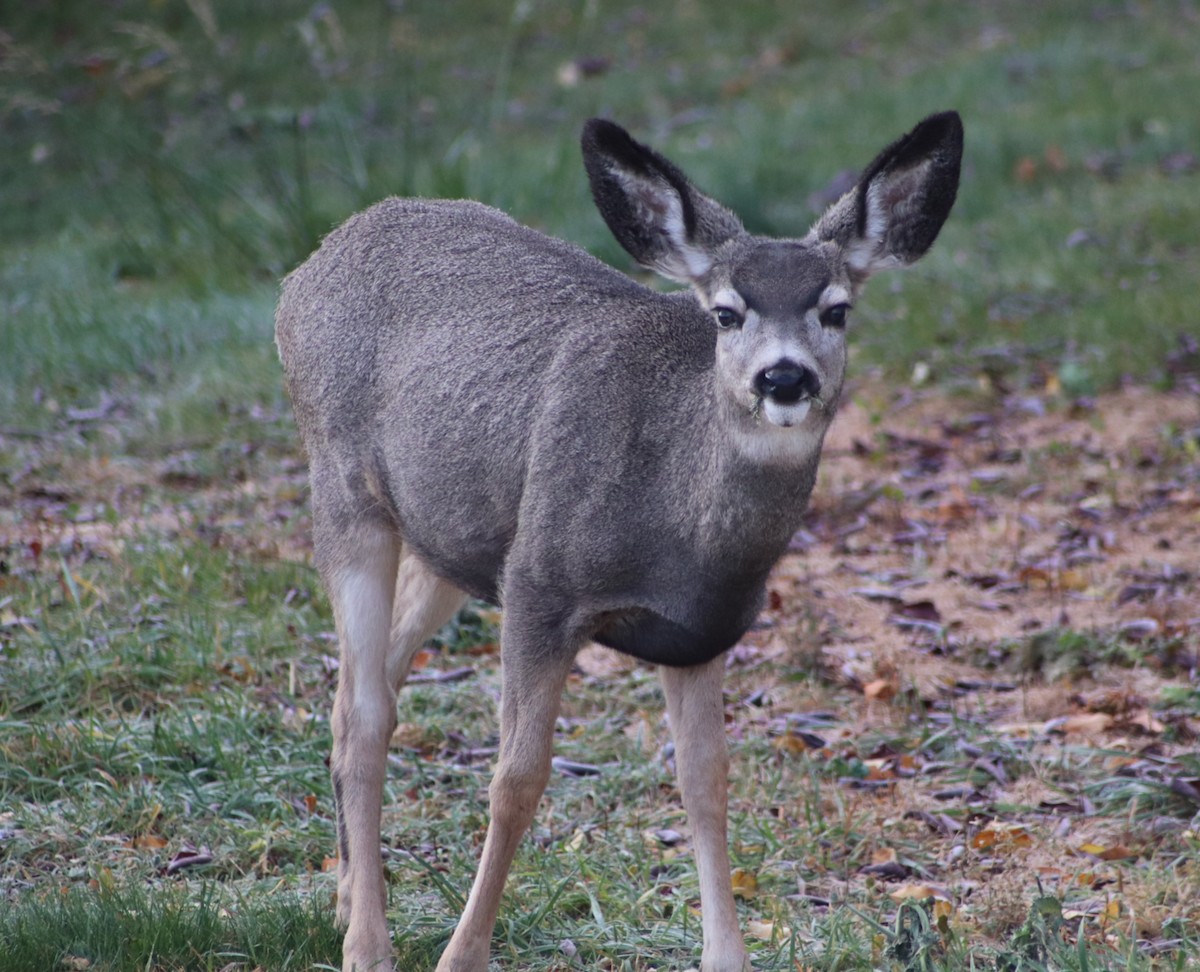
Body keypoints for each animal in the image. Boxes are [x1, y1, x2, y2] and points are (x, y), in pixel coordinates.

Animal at [275, 110, 962, 972]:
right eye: (726, 312)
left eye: (835, 309)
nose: (783, 379)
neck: (677, 520)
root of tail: (307, 268)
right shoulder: (540, 583)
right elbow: (516, 781)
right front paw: (462, 955)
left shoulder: (700, 632)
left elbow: (706, 783)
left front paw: (726, 957)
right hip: (344, 490)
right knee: (366, 714)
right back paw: (368, 945)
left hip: (451, 540)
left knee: (363, 691)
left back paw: (344, 901)